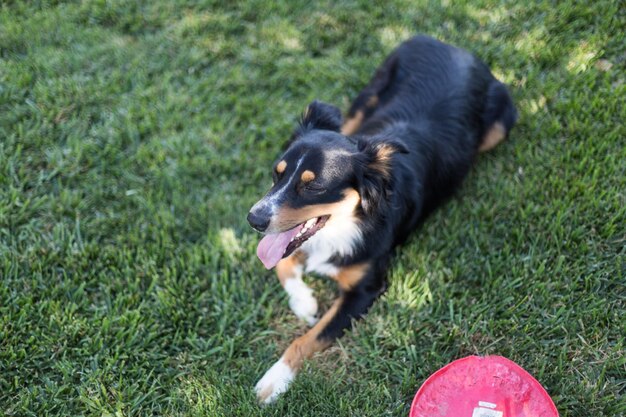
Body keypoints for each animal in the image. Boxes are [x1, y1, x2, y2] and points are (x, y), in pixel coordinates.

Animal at [246, 36, 516, 404]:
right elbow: (283, 266)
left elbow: (308, 337)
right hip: (364, 99)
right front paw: (305, 303)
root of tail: (455, 48)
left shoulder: (365, 291)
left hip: (502, 122)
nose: (253, 219)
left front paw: (275, 380)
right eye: (277, 174)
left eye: (313, 186)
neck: (349, 222)